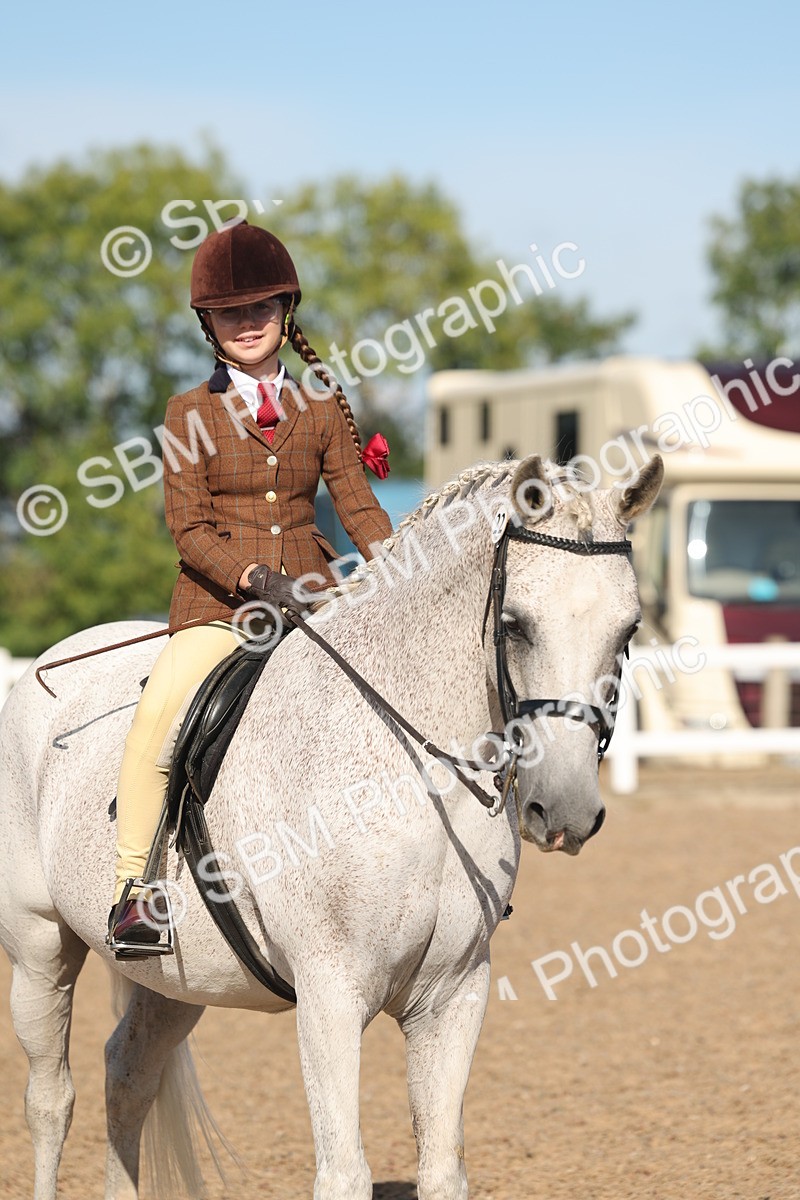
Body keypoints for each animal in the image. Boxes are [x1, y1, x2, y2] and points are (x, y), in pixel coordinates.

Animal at [0, 452, 663, 1200]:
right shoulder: (331, 995)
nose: (568, 811)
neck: (413, 774)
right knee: (51, 1098)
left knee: (128, 1073)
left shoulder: (454, 995)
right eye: (517, 624)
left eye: (629, 630)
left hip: (175, 979)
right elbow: (343, 1173)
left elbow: (443, 1169)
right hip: (38, 947)